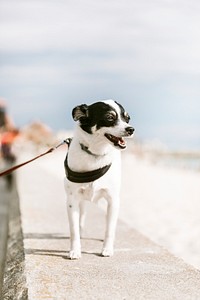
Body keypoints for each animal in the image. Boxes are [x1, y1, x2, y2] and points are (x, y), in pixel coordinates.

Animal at [64, 99, 134, 258]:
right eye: (109, 117)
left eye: (127, 118)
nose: (131, 129)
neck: (96, 154)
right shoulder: (72, 200)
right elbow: (74, 230)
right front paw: (75, 250)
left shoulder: (113, 200)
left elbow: (109, 229)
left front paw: (107, 249)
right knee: (81, 217)